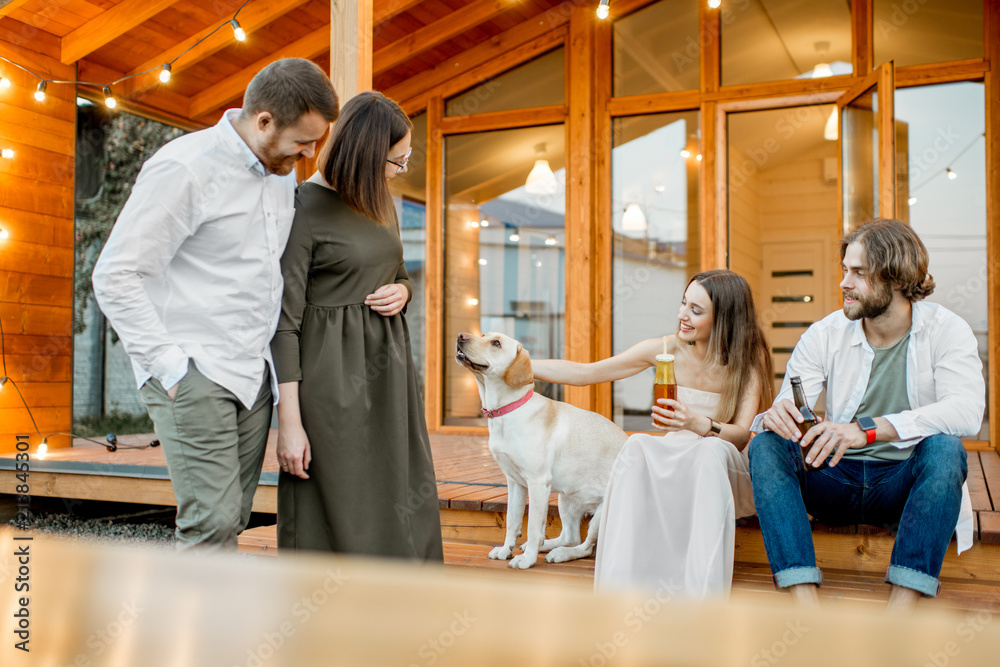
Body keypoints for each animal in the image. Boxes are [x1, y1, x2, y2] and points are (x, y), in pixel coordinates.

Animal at [456, 332, 624, 568]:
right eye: (484, 335)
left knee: (586, 547)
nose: (460, 336)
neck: (507, 411)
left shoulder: (538, 482)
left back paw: (559, 553)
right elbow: (512, 521)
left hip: (599, 514)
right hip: (566, 498)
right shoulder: (515, 482)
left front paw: (527, 560)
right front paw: (506, 550)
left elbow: (534, 526)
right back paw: (548, 546)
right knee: (571, 536)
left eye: (496, 343)